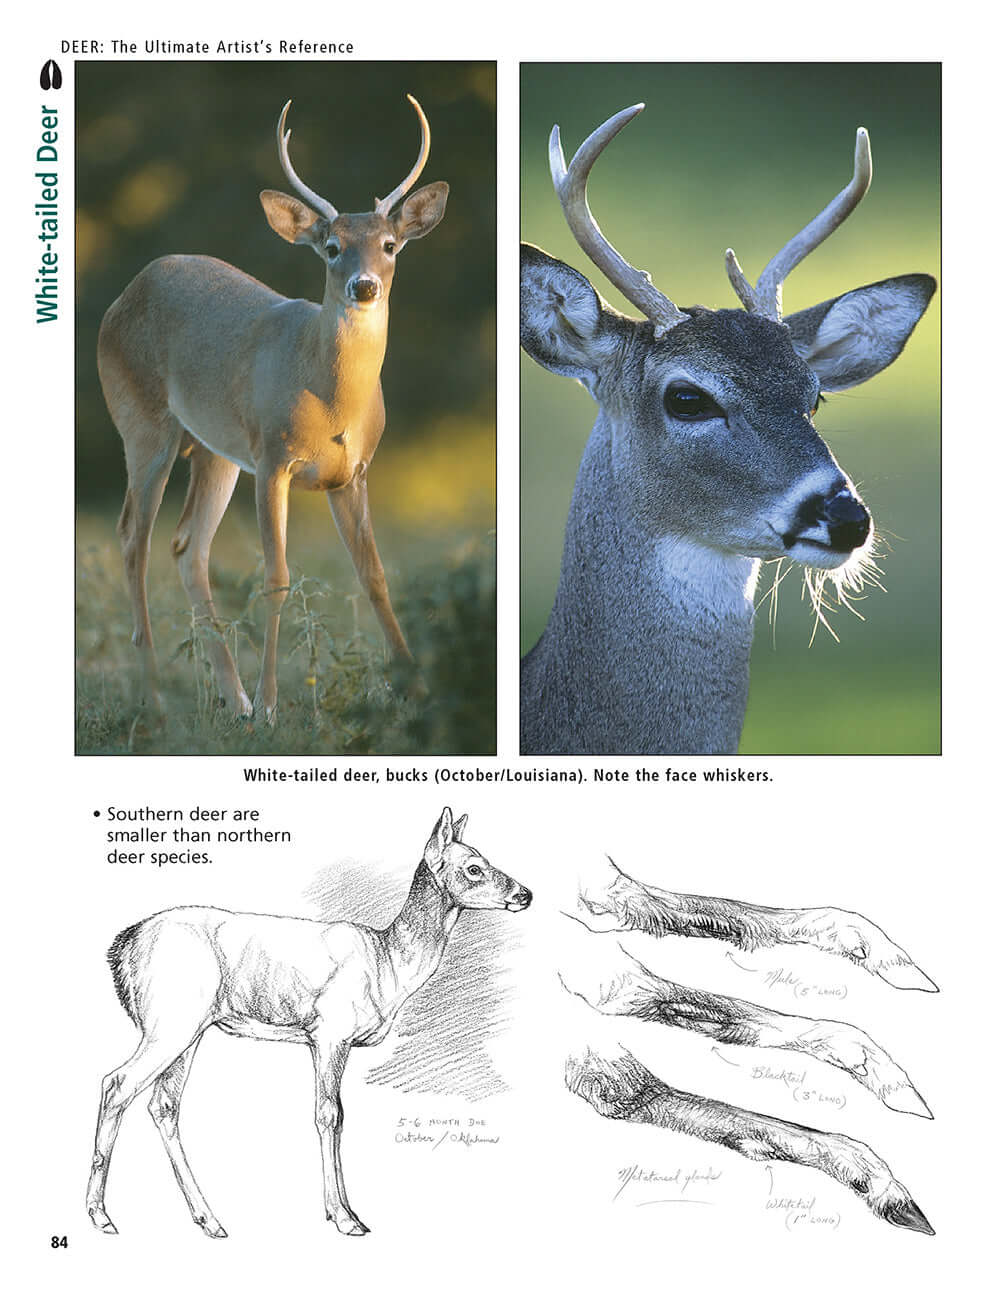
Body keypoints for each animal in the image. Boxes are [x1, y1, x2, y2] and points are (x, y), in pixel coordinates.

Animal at [86, 807, 531, 1238]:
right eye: (473, 867)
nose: (524, 894)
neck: (388, 965)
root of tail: (123, 948)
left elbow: (333, 1114)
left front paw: (341, 1212)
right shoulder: (331, 1031)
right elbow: (329, 1113)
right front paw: (346, 1217)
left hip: (188, 1028)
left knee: (163, 1104)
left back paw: (209, 1220)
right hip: (169, 1021)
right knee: (117, 1083)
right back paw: (100, 1215)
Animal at [98, 95, 449, 724]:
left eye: (389, 245)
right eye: (332, 248)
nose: (364, 286)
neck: (332, 403)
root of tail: (124, 296)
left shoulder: (352, 474)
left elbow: (375, 574)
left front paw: (416, 689)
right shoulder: (272, 458)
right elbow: (278, 577)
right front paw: (270, 705)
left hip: (214, 450)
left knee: (187, 545)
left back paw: (230, 699)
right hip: (144, 424)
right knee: (133, 536)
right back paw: (159, 700)